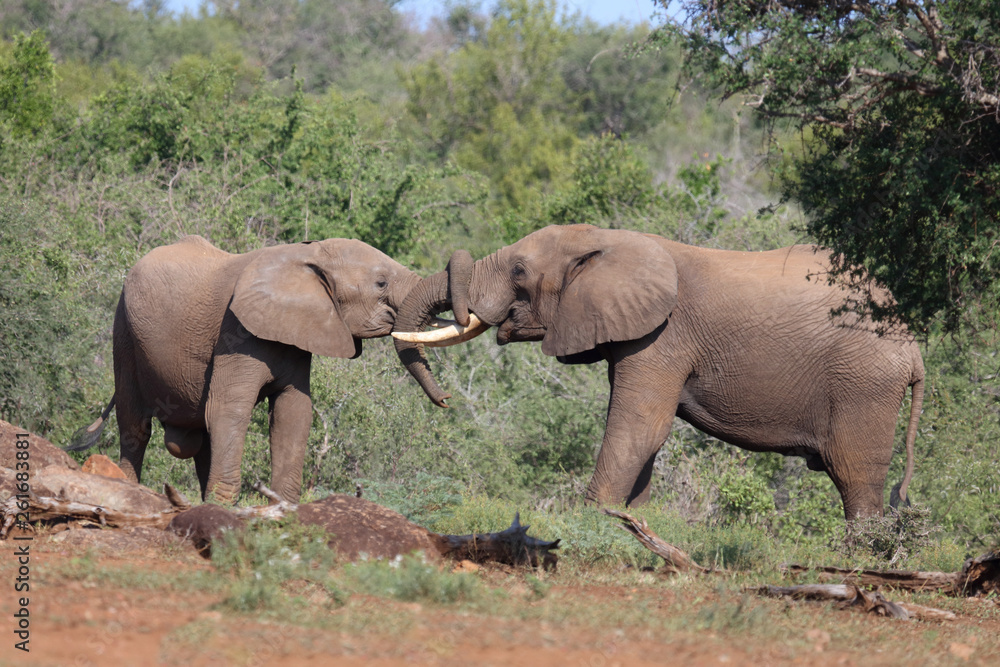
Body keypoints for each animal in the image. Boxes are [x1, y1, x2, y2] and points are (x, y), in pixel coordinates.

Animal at [70, 235, 468, 500]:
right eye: (381, 283)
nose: (447, 400)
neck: (308, 255)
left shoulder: (296, 337)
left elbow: (294, 411)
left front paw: (283, 510)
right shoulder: (236, 331)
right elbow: (230, 411)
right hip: (124, 329)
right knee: (135, 426)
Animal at [388, 224, 920, 520]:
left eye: (518, 271)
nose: (445, 401)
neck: (609, 240)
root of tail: (914, 346)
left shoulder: (663, 336)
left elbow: (639, 426)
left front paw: (594, 520)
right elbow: (639, 432)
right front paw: (635, 523)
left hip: (864, 382)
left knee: (855, 474)